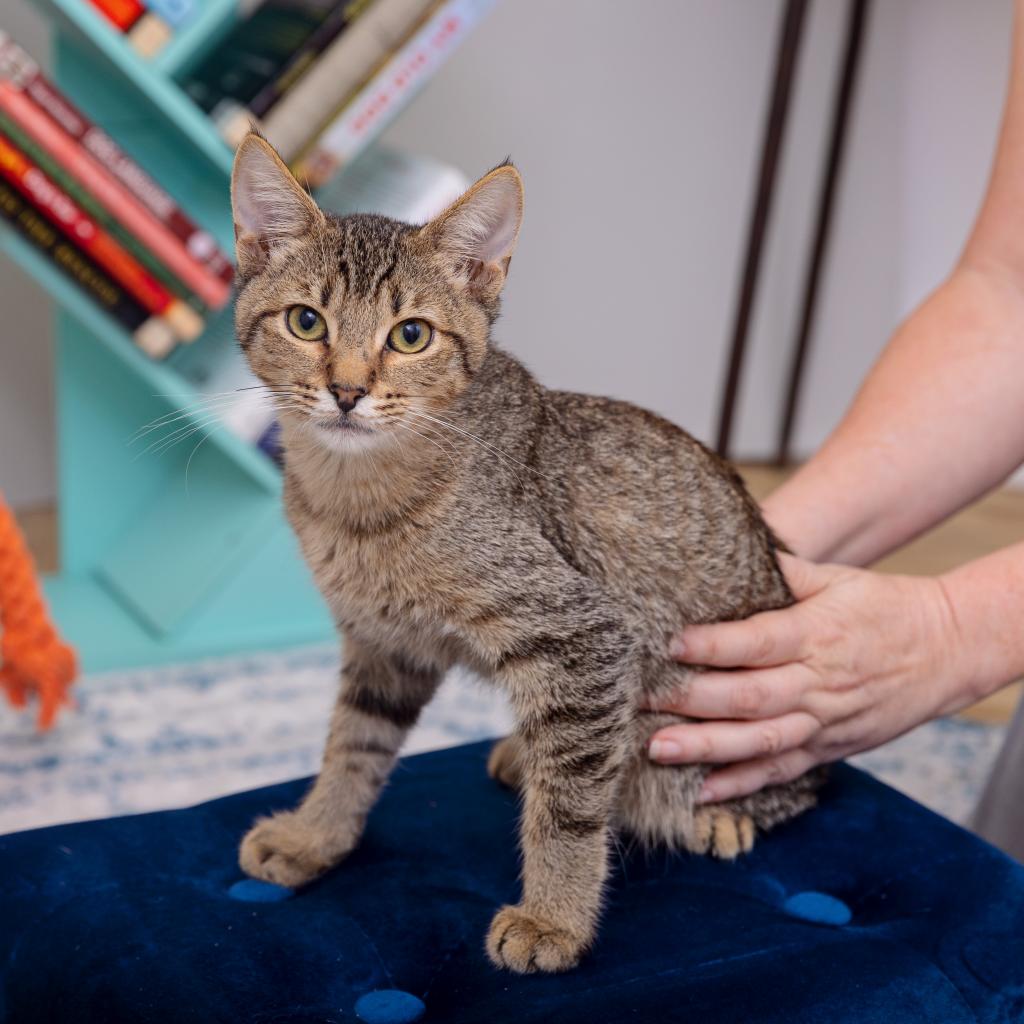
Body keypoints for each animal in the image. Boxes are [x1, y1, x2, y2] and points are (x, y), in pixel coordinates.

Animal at [228, 134, 819, 974]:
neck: (360, 501)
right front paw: (316, 835)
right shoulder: (383, 645)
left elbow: (568, 810)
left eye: (411, 335)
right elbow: (351, 747)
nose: (345, 391)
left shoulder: (588, 638)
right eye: (307, 322)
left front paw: (554, 919)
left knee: (783, 787)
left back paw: (718, 814)